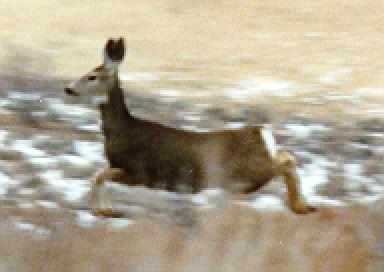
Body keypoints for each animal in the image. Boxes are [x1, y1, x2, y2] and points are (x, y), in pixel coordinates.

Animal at [63, 38, 316, 216]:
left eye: (92, 76)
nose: (68, 88)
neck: (123, 131)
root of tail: (261, 132)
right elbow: (98, 175)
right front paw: (105, 210)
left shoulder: (141, 173)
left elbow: (98, 176)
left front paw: (105, 211)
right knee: (287, 156)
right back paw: (304, 206)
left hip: (250, 170)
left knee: (286, 162)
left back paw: (300, 207)